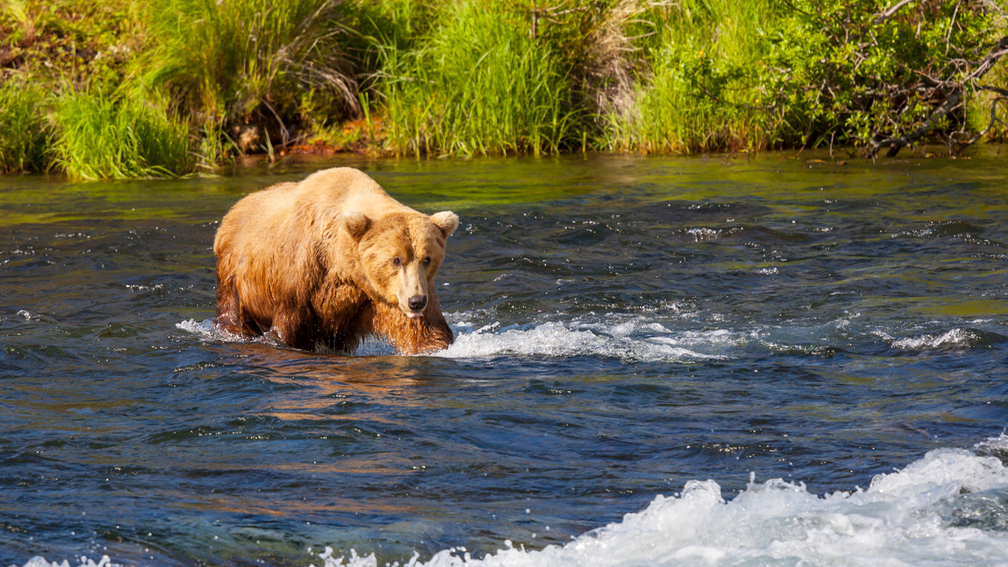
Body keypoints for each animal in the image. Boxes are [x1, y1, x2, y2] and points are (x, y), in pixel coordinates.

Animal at [216, 166, 461, 353]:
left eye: (427, 259)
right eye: (396, 260)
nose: (416, 301)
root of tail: (234, 208)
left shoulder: (386, 294)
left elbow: (424, 332)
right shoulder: (302, 275)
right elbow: (289, 328)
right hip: (234, 273)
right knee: (233, 312)